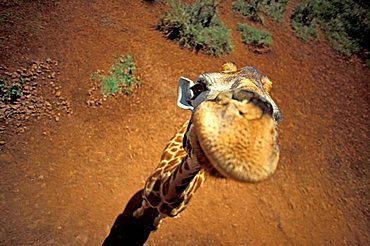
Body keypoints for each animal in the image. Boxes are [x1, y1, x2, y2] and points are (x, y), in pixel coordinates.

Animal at [133, 62, 280, 228]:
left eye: (277, 117)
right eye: (198, 88)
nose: (236, 139)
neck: (166, 196)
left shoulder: (169, 212)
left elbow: (159, 218)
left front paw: (155, 225)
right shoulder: (146, 196)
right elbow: (143, 206)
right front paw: (136, 215)